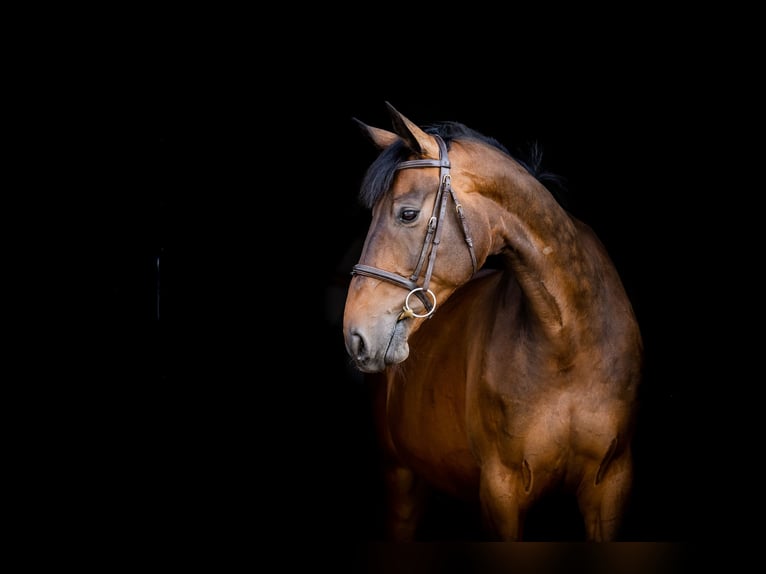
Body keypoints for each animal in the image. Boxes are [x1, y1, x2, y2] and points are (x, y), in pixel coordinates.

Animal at [342, 101, 640, 544]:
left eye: (407, 214)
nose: (355, 335)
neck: (570, 344)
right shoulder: (502, 494)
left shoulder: (610, 486)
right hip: (401, 480)